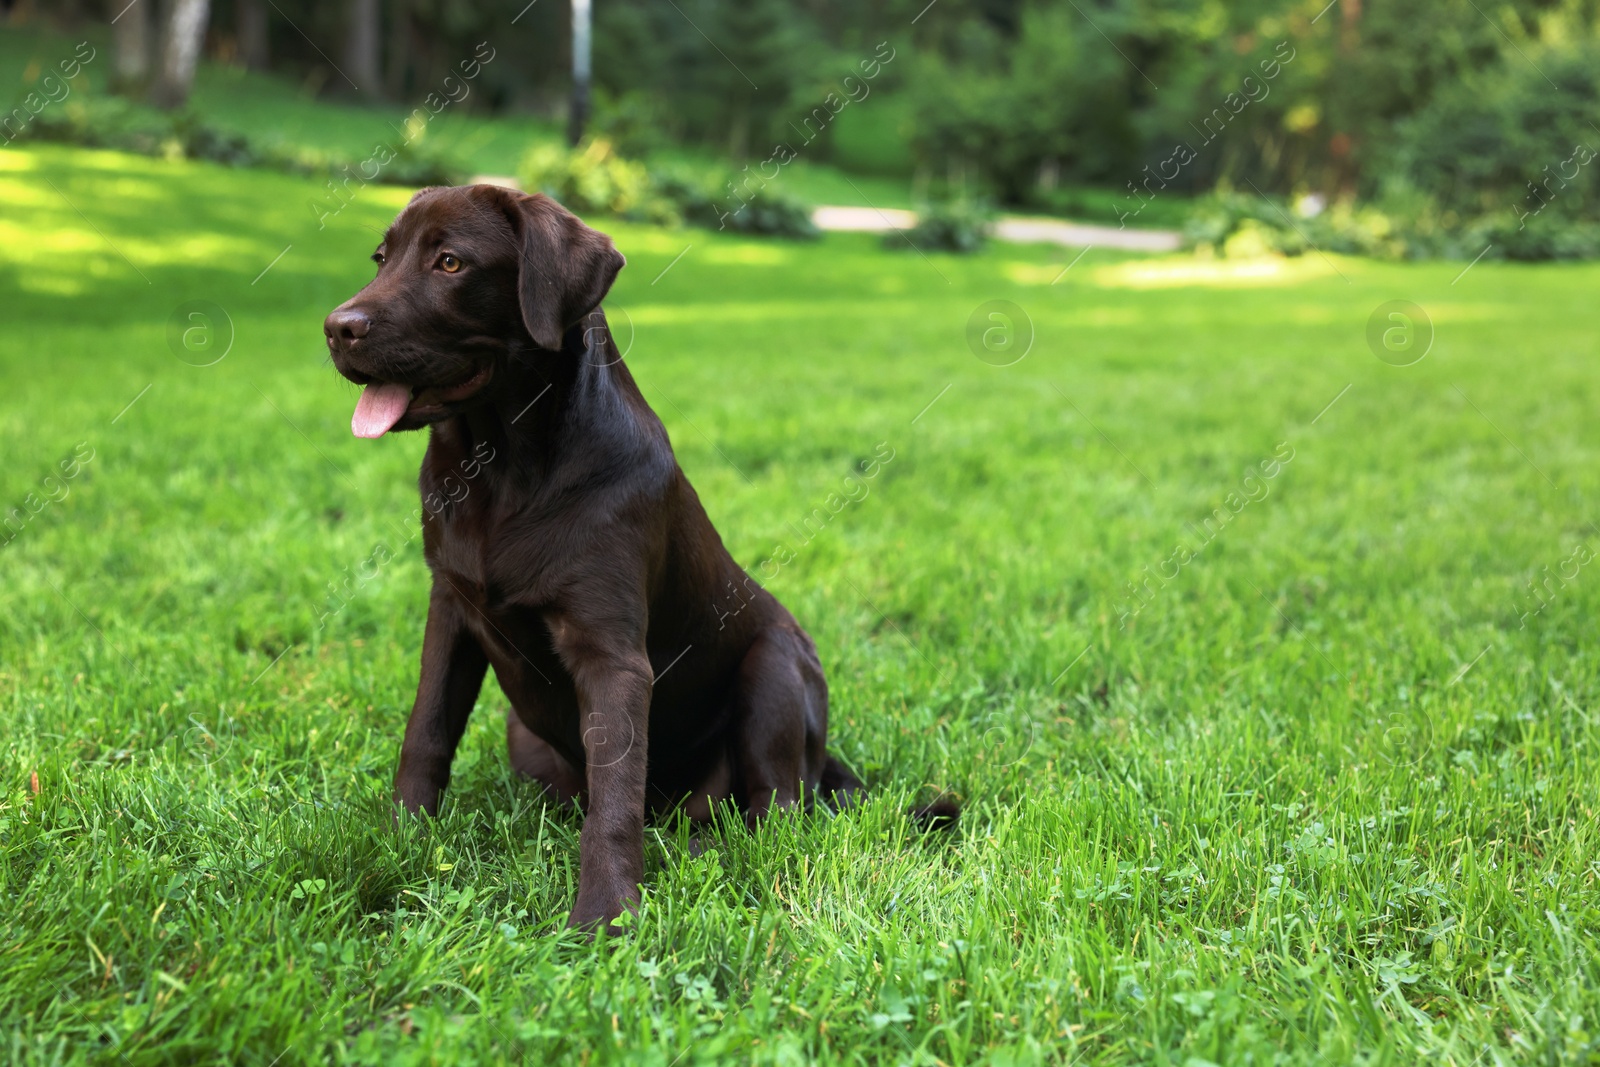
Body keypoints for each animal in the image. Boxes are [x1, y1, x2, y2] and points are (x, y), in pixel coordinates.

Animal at [321, 187, 864, 927]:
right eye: (381, 257)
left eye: (450, 261)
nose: (335, 327)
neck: (502, 466)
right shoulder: (451, 608)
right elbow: (426, 730)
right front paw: (401, 838)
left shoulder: (612, 654)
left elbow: (615, 796)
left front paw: (606, 913)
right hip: (525, 732)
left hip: (778, 666)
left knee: (772, 809)